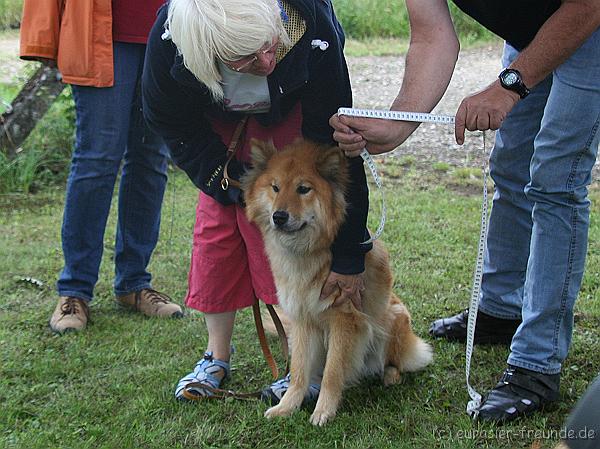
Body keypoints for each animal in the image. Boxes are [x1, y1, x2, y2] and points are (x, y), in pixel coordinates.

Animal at [241, 139, 434, 424]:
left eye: (303, 189)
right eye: (275, 187)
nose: (279, 216)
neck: (308, 254)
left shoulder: (345, 320)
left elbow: (333, 373)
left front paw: (323, 411)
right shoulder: (302, 319)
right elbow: (298, 371)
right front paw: (287, 406)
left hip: (393, 317)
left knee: (396, 361)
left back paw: (390, 375)